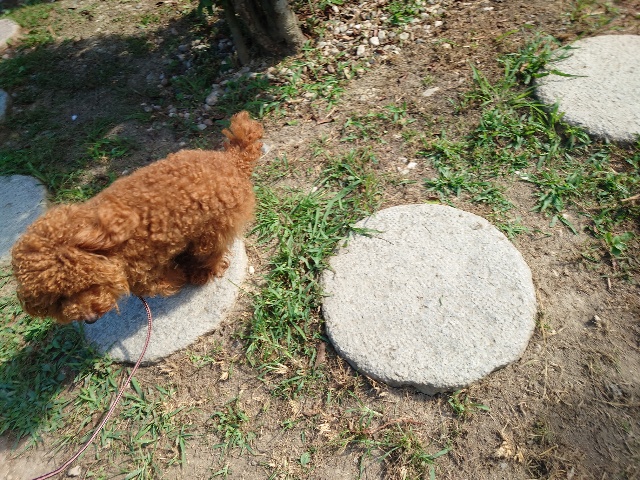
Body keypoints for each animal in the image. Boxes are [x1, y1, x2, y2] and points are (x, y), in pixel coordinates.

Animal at [11, 111, 263, 324]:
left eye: (89, 285)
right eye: (59, 299)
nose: (89, 319)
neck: (111, 242)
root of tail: (231, 161)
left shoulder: (142, 269)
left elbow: (155, 284)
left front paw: (175, 281)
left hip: (214, 226)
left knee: (211, 251)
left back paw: (201, 271)